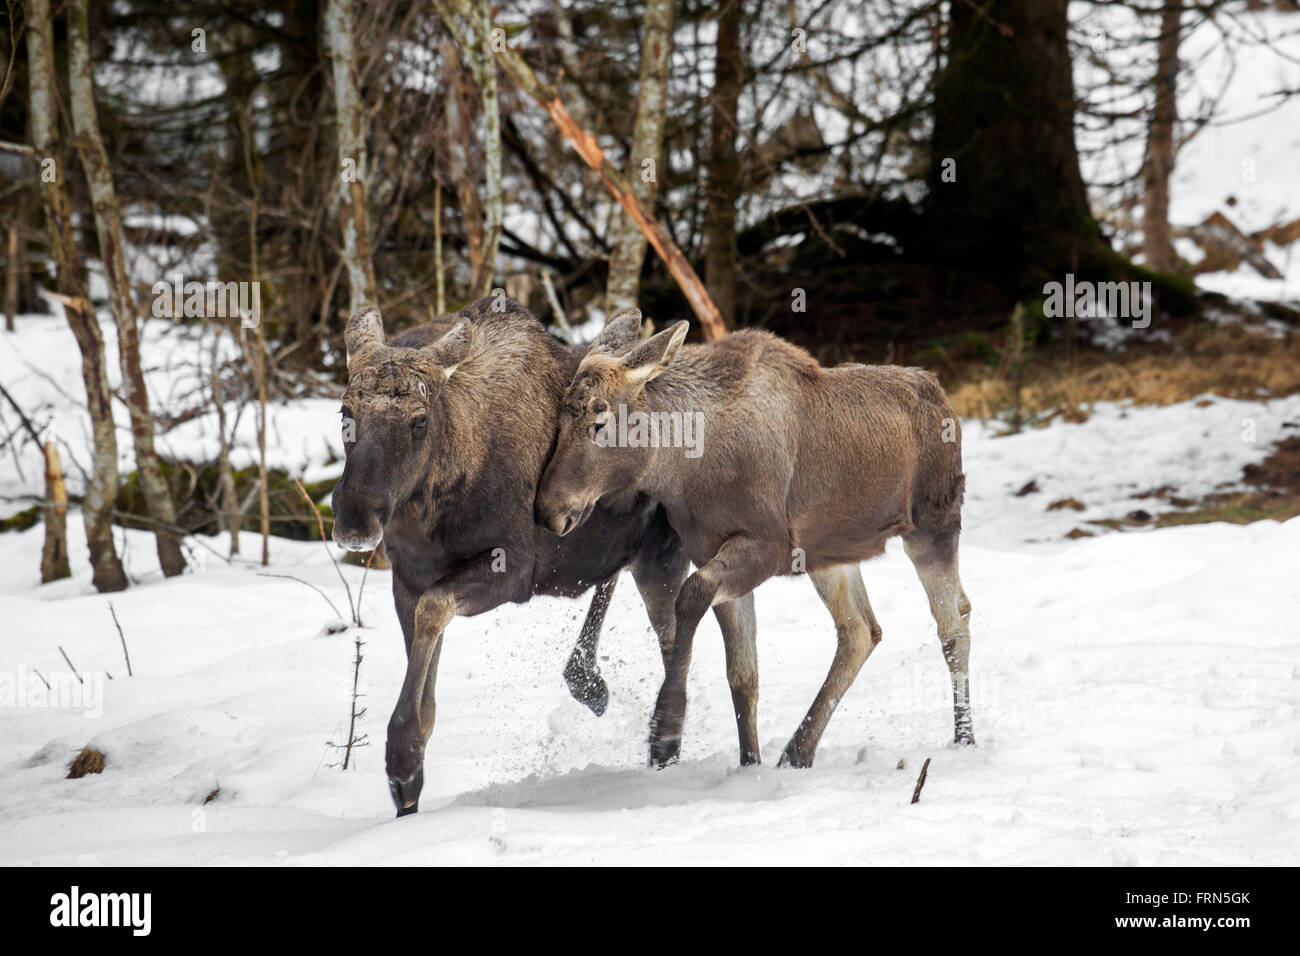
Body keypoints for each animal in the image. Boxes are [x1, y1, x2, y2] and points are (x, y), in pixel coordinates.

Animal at [533, 310, 972, 775]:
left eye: (599, 422)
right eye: (557, 422)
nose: (547, 509)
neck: (684, 468)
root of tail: (945, 401)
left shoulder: (769, 546)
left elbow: (691, 597)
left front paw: (665, 733)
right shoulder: (714, 550)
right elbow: (742, 674)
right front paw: (749, 762)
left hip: (934, 524)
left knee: (952, 624)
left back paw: (964, 738)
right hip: (831, 554)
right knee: (861, 630)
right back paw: (797, 752)